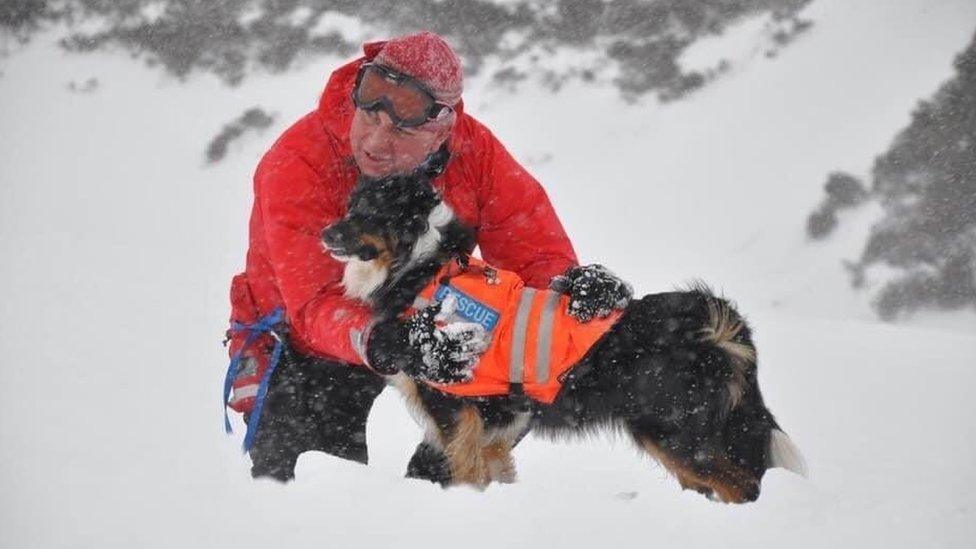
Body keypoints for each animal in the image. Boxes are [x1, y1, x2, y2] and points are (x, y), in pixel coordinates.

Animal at [320, 173, 800, 504]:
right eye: (349, 206)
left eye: (369, 212)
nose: (325, 233)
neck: (423, 268)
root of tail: (717, 321)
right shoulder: (495, 424)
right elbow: (495, 472)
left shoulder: (457, 411)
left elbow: (466, 473)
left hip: (677, 430)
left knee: (744, 485)